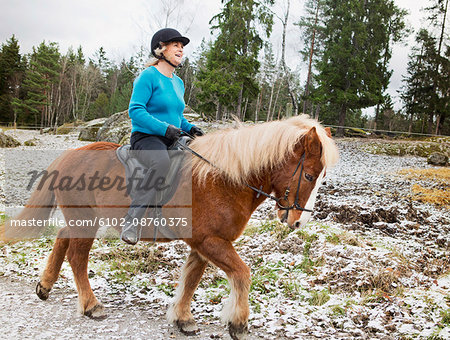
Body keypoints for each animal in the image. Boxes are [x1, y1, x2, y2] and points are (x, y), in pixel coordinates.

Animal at [0, 115, 338, 338]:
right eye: (309, 175)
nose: (297, 221)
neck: (222, 179)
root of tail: (69, 155)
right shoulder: (210, 241)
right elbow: (242, 273)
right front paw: (239, 323)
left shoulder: (204, 244)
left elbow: (190, 280)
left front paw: (182, 318)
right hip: (86, 221)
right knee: (77, 258)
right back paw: (90, 305)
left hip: (81, 219)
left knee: (61, 239)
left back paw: (45, 285)